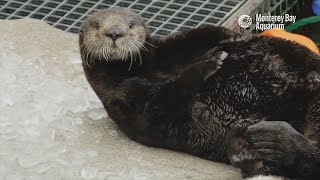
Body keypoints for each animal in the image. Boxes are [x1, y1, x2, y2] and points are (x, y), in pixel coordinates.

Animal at [78, 7, 320, 180]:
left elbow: (203, 33)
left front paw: (232, 39)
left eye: (130, 24)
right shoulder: (124, 98)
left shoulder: (172, 48)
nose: (114, 33)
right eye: (97, 25)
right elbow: (159, 104)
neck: (148, 69)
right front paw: (210, 63)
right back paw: (257, 143)